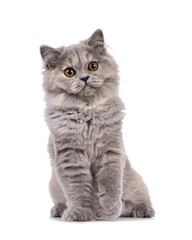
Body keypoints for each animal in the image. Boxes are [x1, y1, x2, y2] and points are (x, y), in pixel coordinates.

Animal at [40, 28, 154, 221]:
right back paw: (60, 209)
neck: (88, 112)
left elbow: (111, 182)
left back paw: (142, 210)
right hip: (53, 184)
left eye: (92, 66)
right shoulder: (71, 156)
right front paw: (80, 212)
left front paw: (109, 209)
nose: (84, 78)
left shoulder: (111, 150)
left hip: (135, 182)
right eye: (69, 72)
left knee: (140, 199)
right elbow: (78, 190)